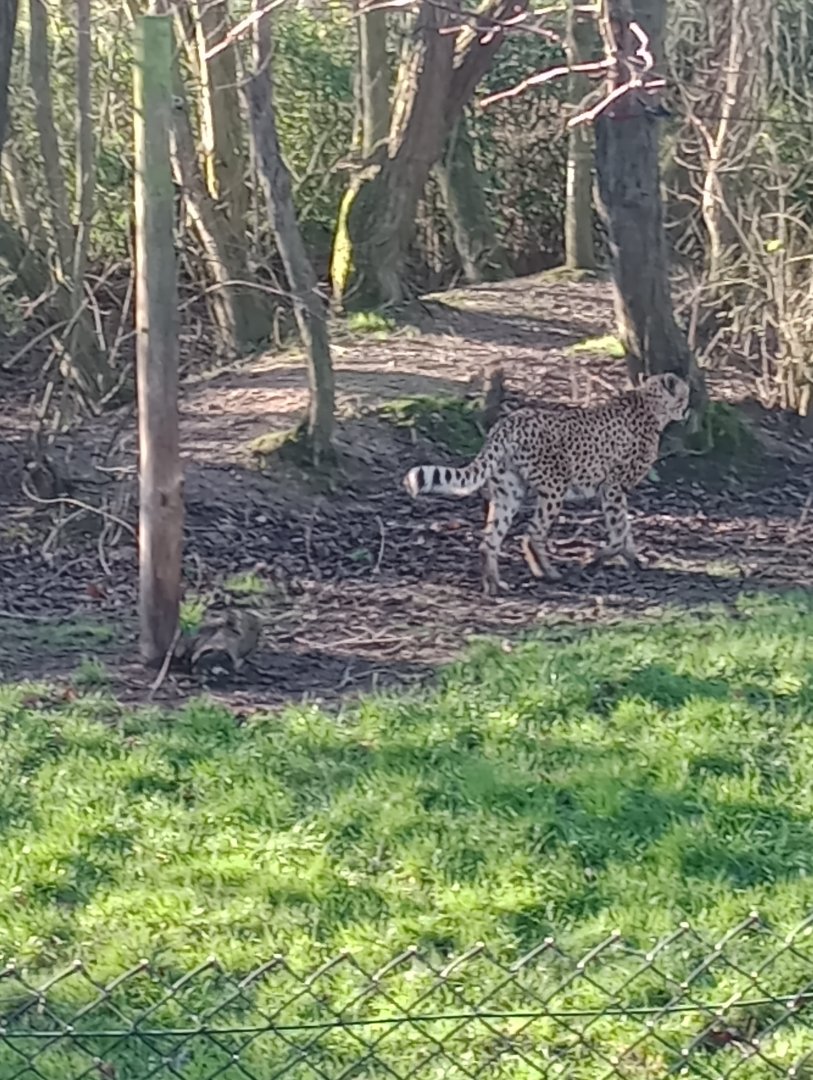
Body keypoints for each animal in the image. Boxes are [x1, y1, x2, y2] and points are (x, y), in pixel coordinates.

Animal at [403, 372, 690, 595]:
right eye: (685, 394)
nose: (687, 409)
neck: (650, 403)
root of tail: (508, 421)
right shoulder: (613, 487)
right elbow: (620, 531)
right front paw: (597, 559)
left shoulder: (613, 491)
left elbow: (625, 530)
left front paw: (632, 560)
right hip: (554, 488)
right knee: (533, 533)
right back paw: (548, 572)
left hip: (510, 492)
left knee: (490, 540)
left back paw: (494, 585)